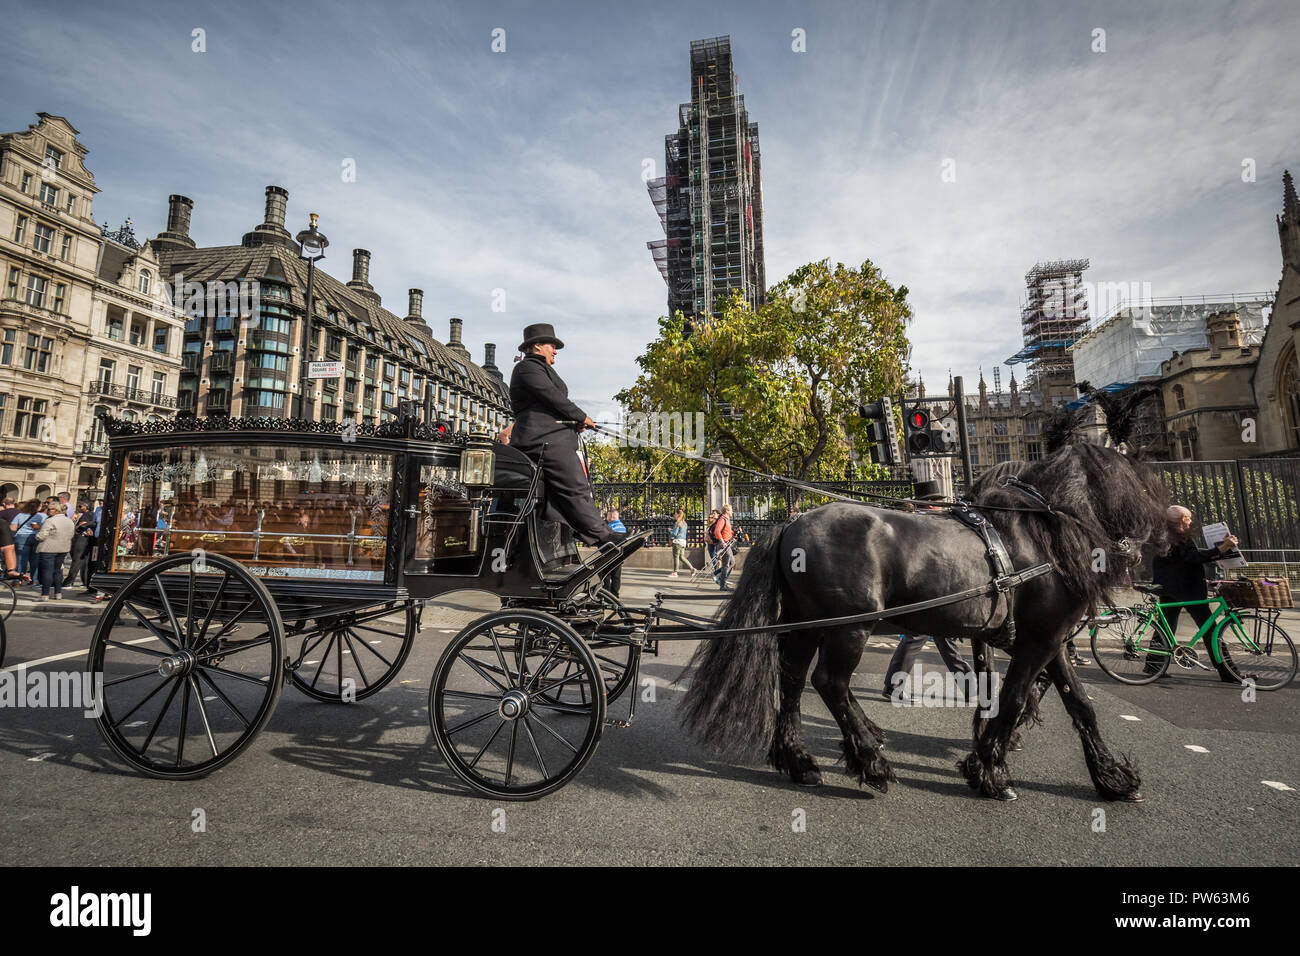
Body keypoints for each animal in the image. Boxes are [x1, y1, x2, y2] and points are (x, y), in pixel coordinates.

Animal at [681, 444, 1170, 806]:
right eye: (1148, 487)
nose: (1164, 538)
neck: (1044, 532)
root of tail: (791, 524)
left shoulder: (1045, 638)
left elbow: (1079, 704)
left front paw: (1112, 776)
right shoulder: (1039, 641)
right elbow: (1013, 699)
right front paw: (990, 772)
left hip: (808, 623)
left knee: (794, 679)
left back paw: (801, 761)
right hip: (848, 626)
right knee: (829, 682)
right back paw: (871, 762)